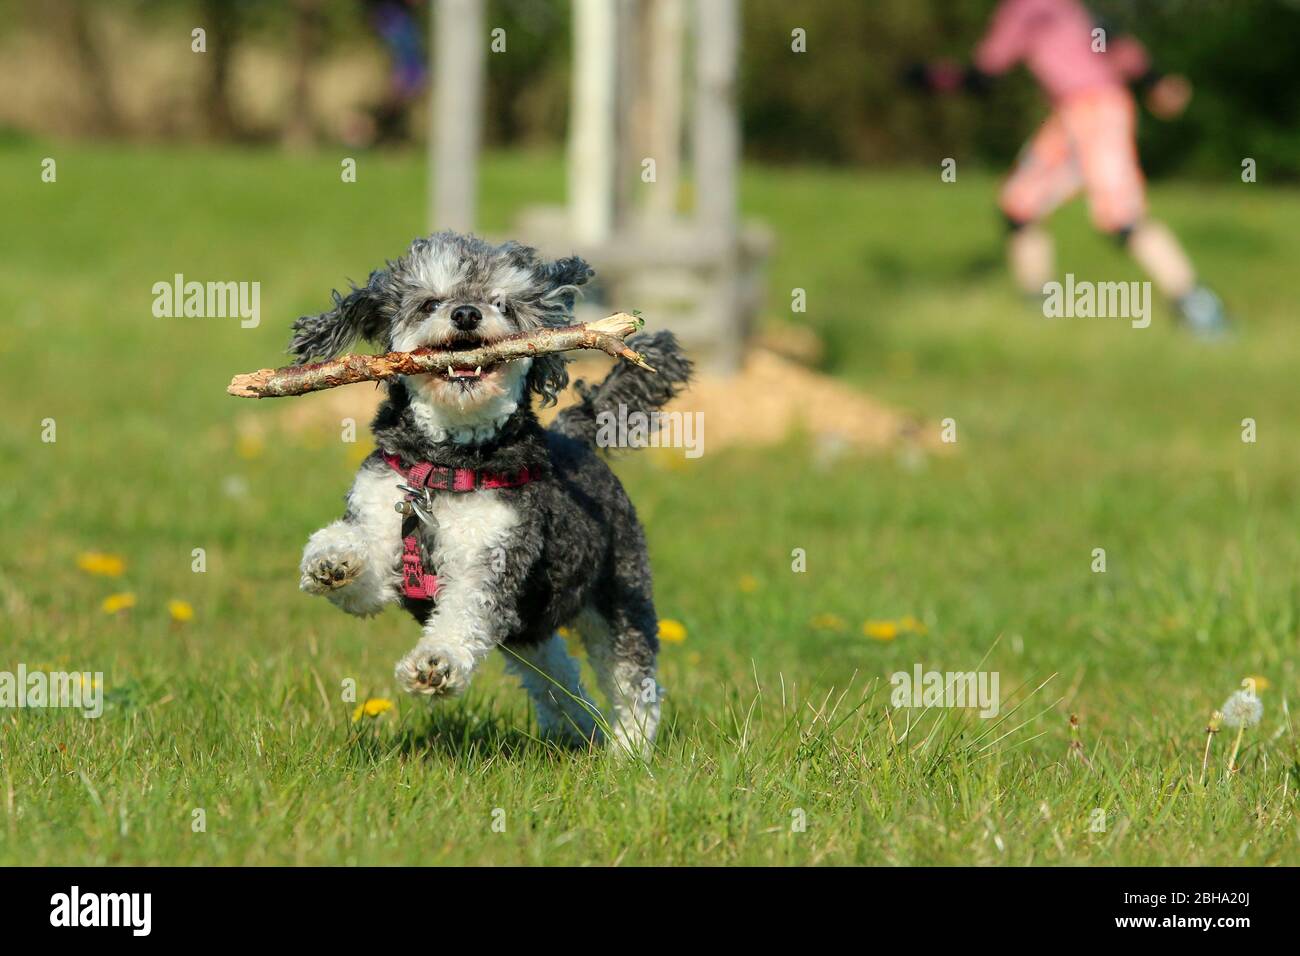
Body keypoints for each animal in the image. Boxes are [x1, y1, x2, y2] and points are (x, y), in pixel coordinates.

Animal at [286, 231, 691, 754]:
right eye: (430, 303)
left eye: (503, 303)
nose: (465, 313)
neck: (446, 468)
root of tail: (575, 435)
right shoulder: (384, 521)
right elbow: (362, 576)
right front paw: (332, 558)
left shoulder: (495, 557)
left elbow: (464, 614)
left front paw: (435, 664)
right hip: (531, 627)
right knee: (555, 671)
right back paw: (576, 727)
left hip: (620, 592)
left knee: (633, 678)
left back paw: (628, 750)